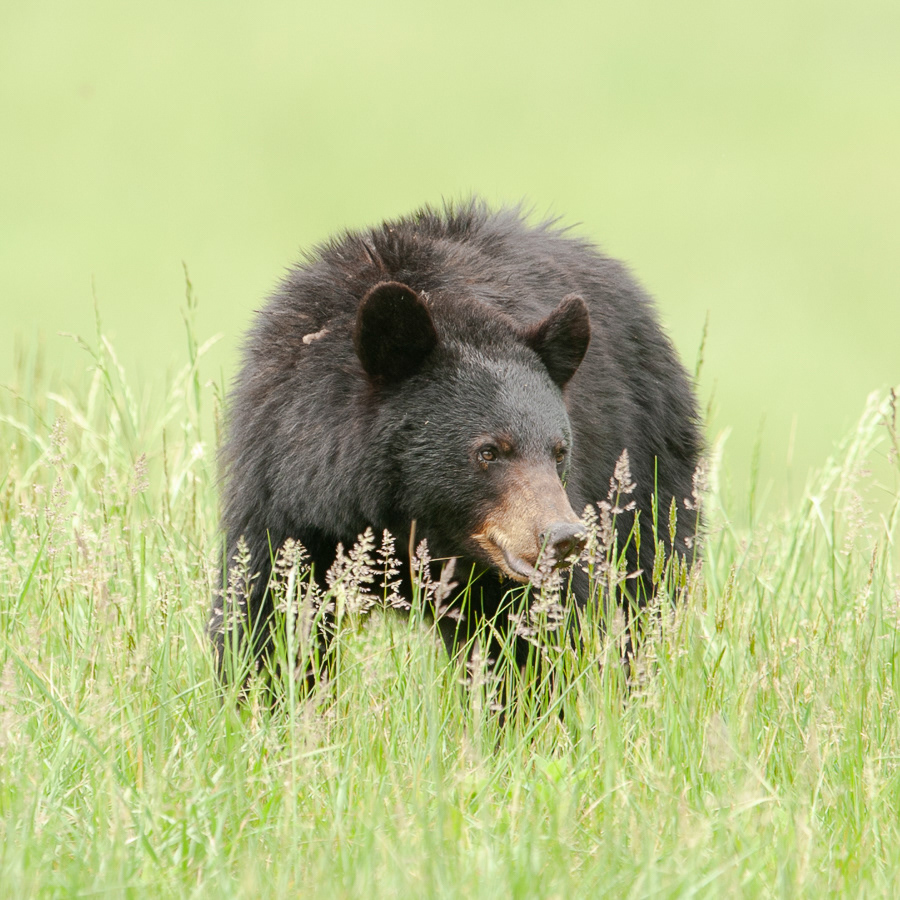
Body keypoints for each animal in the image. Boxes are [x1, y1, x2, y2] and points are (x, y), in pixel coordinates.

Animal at [210, 199, 702, 686]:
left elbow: (531, 639)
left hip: (646, 466)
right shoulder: (284, 493)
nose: (563, 537)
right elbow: (266, 613)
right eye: (488, 451)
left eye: (559, 451)